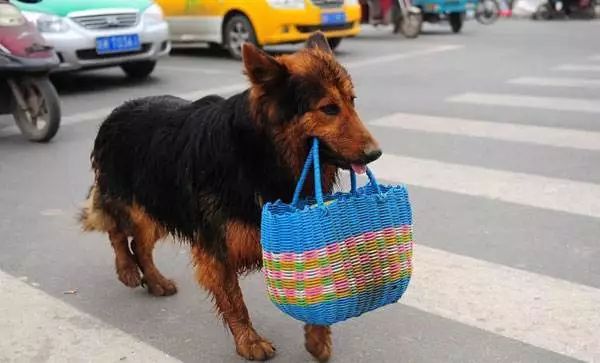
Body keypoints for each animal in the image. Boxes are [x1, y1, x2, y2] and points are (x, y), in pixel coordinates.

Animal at [79, 33, 382, 362]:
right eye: (329, 108)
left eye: (352, 101)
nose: (375, 154)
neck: (263, 155)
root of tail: (118, 110)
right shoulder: (216, 247)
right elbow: (234, 301)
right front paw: (249, 341)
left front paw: (317, 337)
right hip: (133, 204)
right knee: (116, 231)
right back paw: (127, 269)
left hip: (157, 210)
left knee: (139, 244)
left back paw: (155, 280)